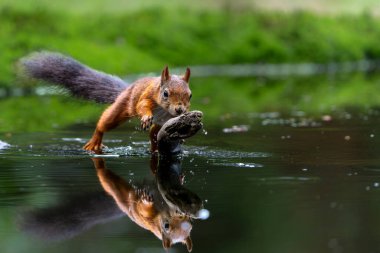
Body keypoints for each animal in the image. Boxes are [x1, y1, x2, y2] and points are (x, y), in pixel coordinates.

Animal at [20, 51, 193, 152]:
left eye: (190, 95)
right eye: (165, 93)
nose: (179, 110)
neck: (165, 110)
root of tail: (127, 89)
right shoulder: (147, 96)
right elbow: (142, 105)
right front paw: (145, 117)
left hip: (157, 123)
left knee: (153, 133)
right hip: (121, 107)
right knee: (104, 123)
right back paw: (95, 141)